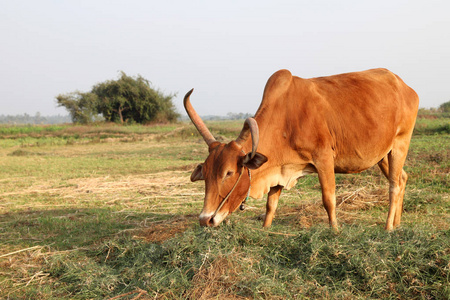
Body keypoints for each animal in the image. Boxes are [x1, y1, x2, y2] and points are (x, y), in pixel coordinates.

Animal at [184, 69, 418, 231]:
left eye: (229, 173)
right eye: (206, 174)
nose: (205, 219)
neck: (286, 120)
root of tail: (405, 87)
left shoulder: (324, 157)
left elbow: (328, 199)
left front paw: (335, 231)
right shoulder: (279, 170)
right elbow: (271, 205)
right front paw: (265, 229)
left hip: (400, 144)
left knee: (394, 185)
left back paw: (388, 228)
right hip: (383, 155)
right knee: (402, 178)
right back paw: (397, 224)